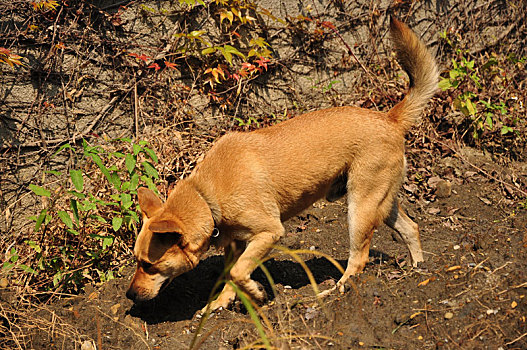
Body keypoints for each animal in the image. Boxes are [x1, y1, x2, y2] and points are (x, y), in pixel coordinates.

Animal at [126, 16, 440, 312]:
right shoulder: (237, 245)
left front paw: (256, 294)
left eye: (149, 265)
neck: (207, 194)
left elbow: (238, 273)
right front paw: (223, 302)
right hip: (379, 202)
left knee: (359, 257)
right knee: (411, 228)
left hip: (359, 209)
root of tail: (389, 118)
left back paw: (337, 290)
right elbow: (231, 276)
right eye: (137, 261)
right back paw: (418, 271)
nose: (129, 294)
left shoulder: (269, 233)